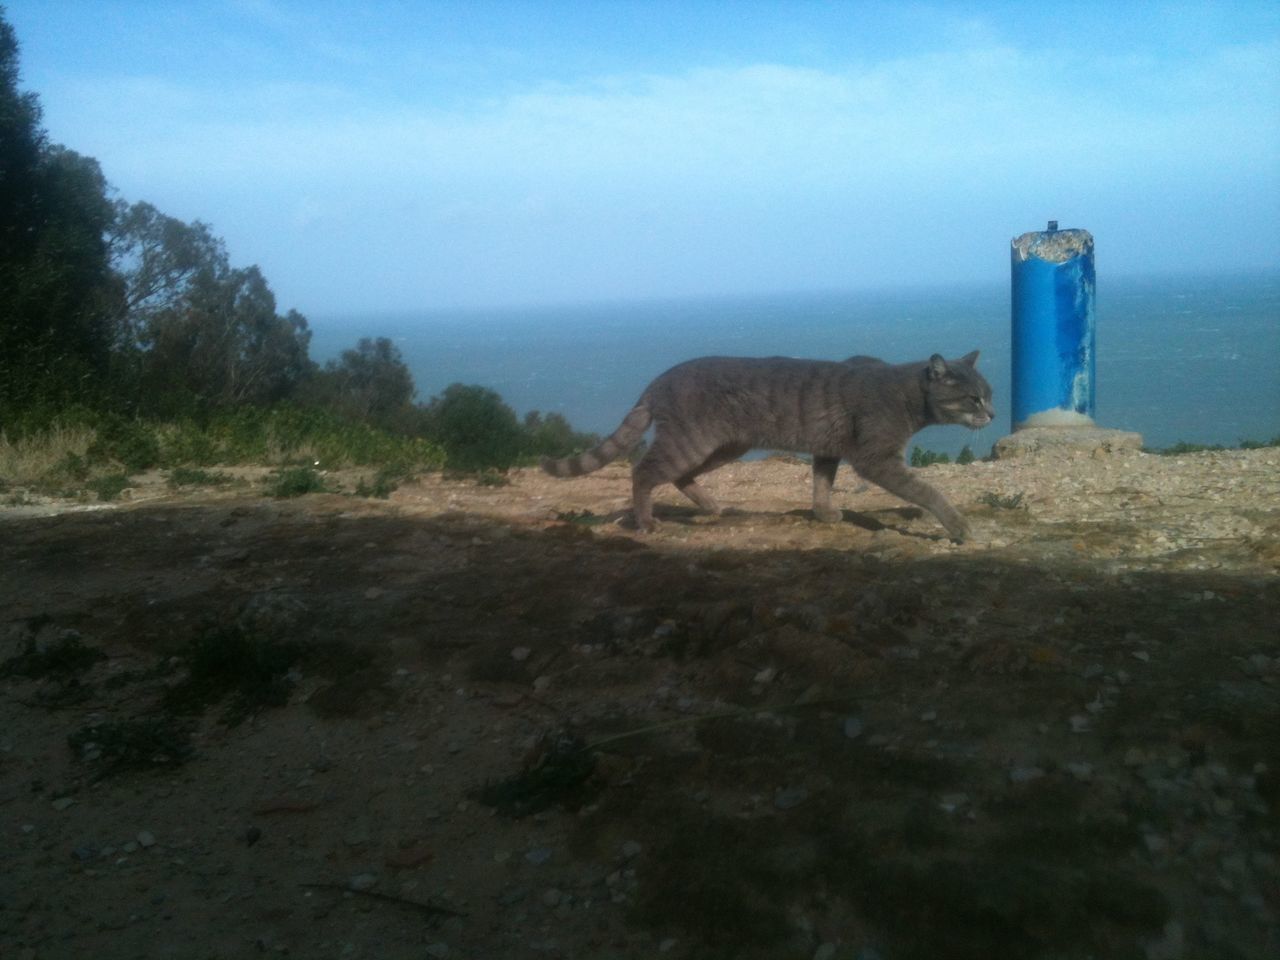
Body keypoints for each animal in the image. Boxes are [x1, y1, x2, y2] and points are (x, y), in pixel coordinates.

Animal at [537, 353, 988, 545]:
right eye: (973, 399)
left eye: (990, 394)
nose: (993, 414)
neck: (906, 395)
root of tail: (659, 378)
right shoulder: (875, 459)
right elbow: (928, 490)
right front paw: (958, 525)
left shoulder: (828, 449)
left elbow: (821, 483)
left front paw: (823, 513)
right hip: (691, 442)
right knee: (643, 472)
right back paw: (646, 522)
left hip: (723, 447)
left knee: (680, 476)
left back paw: (711, 506)